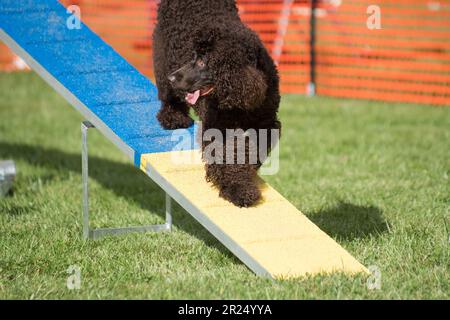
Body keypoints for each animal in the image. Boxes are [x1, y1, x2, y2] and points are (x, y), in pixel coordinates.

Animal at [155, 0, 282, 208]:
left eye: (201, 62)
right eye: (193, 56)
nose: (172, 77)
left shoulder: (266, 125)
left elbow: (255, 149)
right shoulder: (219, 130)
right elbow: (228, 159)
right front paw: (239, 190)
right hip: (163, 57)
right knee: (169, 97)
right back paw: (174, 118)